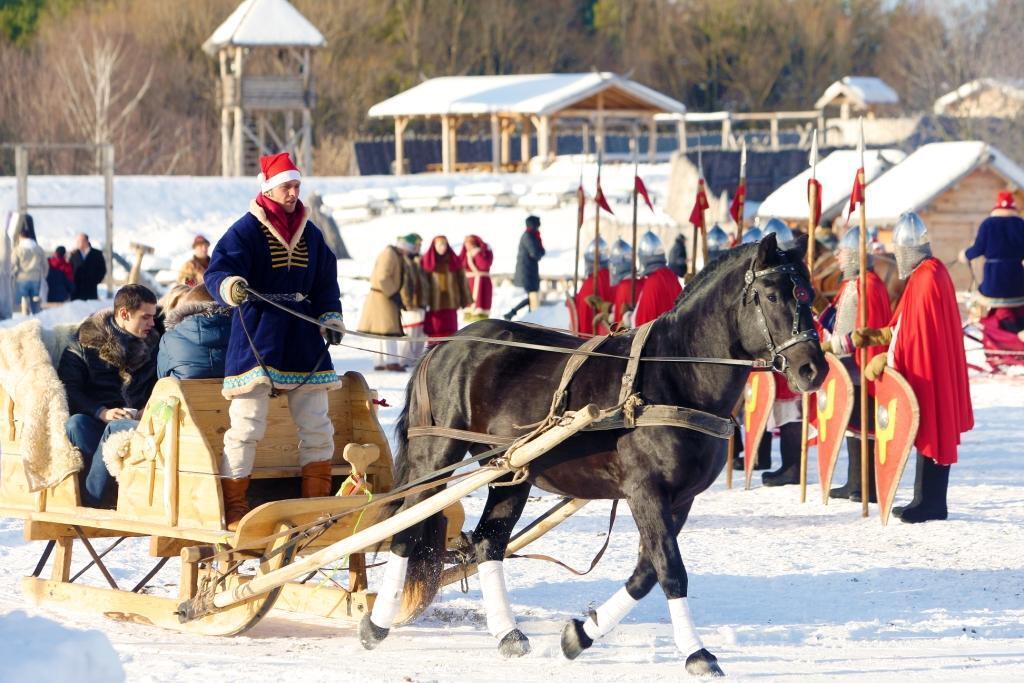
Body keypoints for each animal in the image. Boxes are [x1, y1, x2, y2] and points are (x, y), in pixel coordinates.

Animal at [358, 232, 823, 675]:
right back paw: (376, 624)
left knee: (489, 542)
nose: (812, 370)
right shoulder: (645, 491)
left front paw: (580, 635)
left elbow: (647, 572)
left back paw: (508, 632)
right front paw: (697, 653)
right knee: (406, 528)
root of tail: (444, 346)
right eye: (771, 295)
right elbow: (671, 570)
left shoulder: (680, 498)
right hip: (437, 456)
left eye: (809, 294)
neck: (676, 376)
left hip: (510, 471)